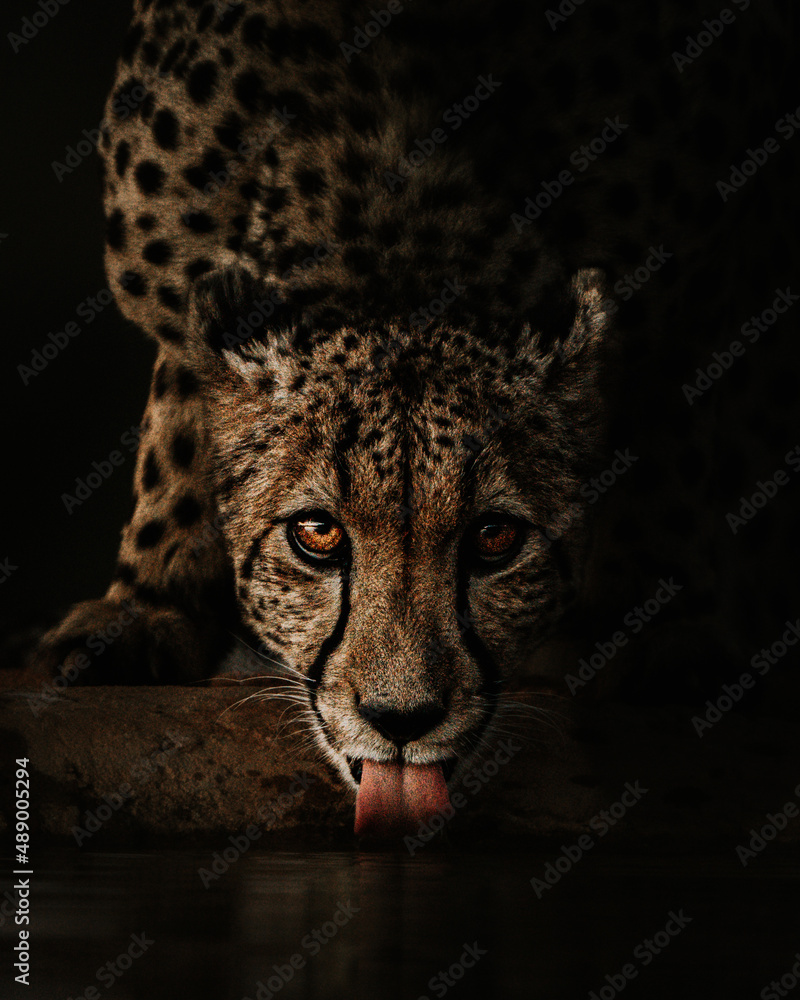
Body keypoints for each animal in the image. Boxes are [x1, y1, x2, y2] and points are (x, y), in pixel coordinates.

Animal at [35, 0, 800, 834]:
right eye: (316, 533)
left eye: (496, 538)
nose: (402, 720)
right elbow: (178, 423)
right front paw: (146, 604)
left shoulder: (697, 284)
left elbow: (676, 449)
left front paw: (670, 623)